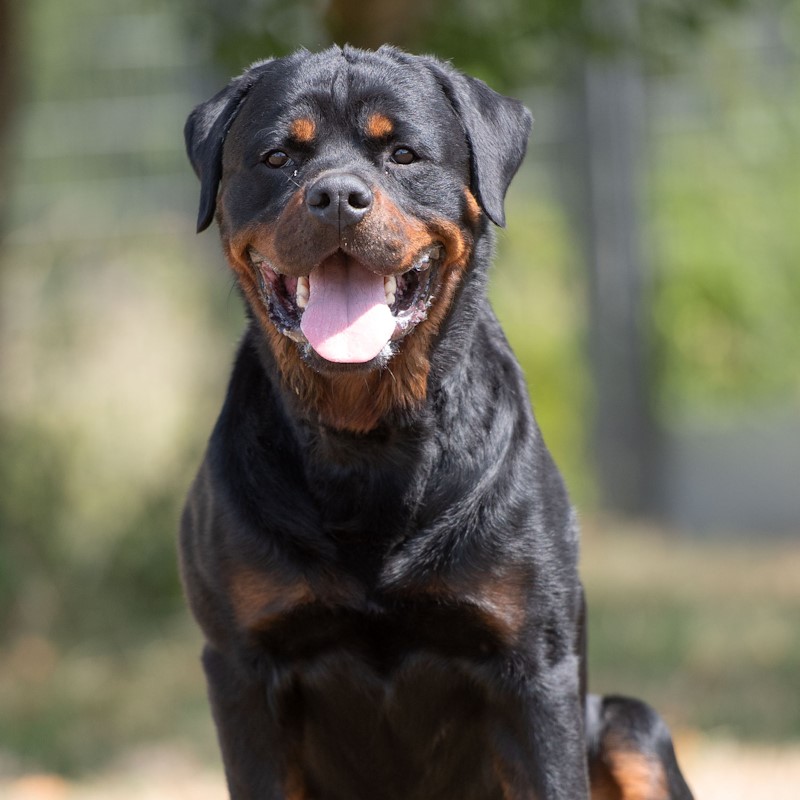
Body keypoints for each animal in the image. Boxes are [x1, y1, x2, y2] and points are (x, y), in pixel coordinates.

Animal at [181, 45, 694, 800]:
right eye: (278, 157)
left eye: (403, 153)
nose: (337, 197)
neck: (368, 442)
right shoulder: (242, 665)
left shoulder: (535, 664)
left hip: (631, 724)